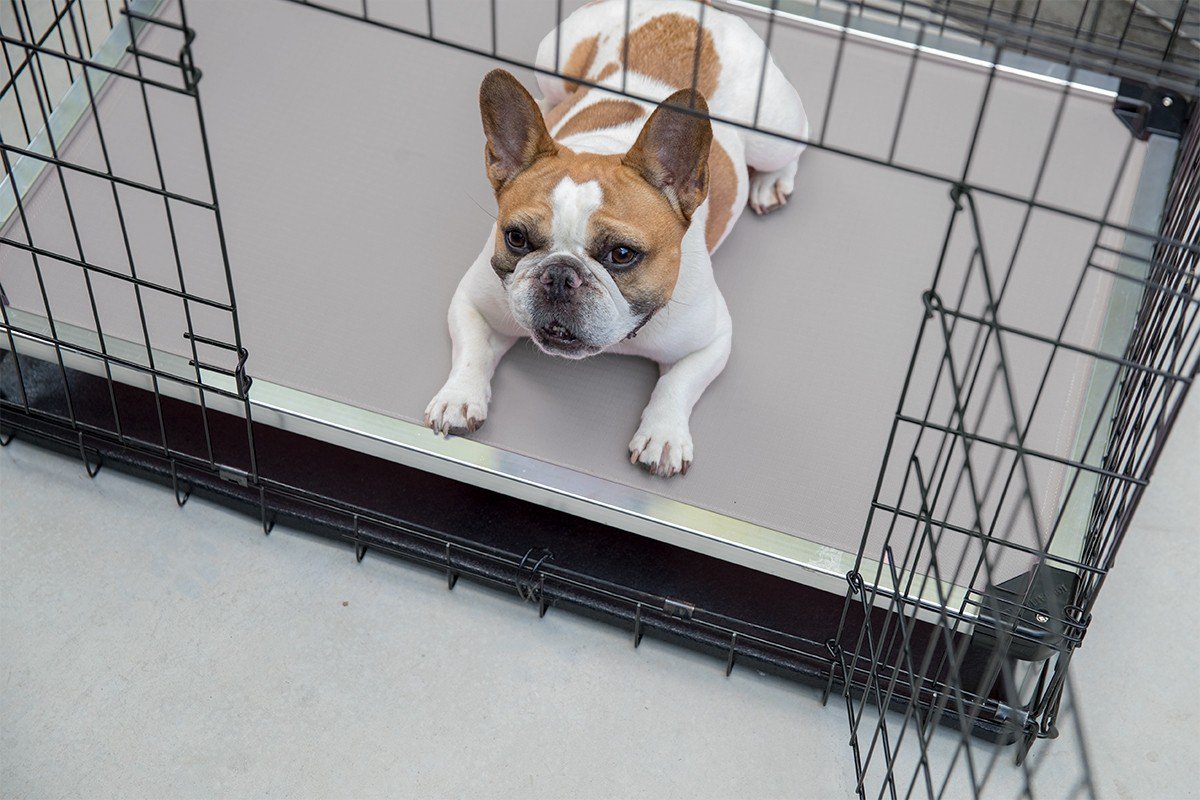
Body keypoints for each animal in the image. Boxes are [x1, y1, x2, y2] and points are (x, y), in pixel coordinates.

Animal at [422, 0, 806, 474]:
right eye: (516, 238)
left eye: (622, 254)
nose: (559, 276)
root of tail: (695, 9)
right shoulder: (473, 302)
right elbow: (471, 349)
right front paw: (459, 397)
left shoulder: (712, 341)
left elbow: (679, 385)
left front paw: (663, 435)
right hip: (552, 58)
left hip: (773, 134)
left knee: (796, 143)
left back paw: (772, 183)